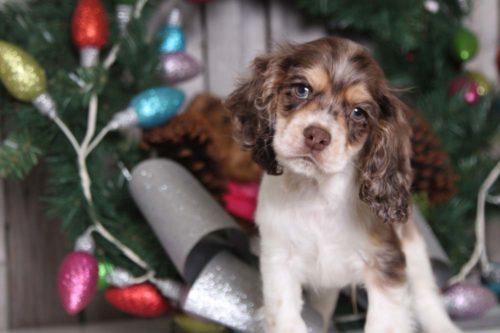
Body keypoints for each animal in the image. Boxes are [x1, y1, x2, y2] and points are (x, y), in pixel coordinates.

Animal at [227, 37, 460, 332]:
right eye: (302, 90)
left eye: (358, 113)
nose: (317, 136)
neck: (319, 193)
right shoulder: (278, 258)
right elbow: (285, 317)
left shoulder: (386, 264)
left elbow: (384, 322)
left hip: (415, 251)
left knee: (426, 298)